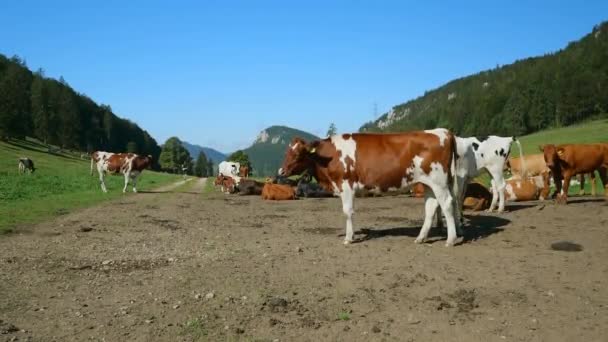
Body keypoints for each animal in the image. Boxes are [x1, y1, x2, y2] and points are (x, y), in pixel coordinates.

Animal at [278, 129, 458, 246]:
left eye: (298, 154)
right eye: (287, 152)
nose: (281, 171)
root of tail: (443, 131)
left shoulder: (346, 184)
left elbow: (347, 211)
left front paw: (348, 238)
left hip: (439, 181)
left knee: (447, 203)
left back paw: (451, 240)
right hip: (428, 183)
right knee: (431, 207)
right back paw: (421, 238)